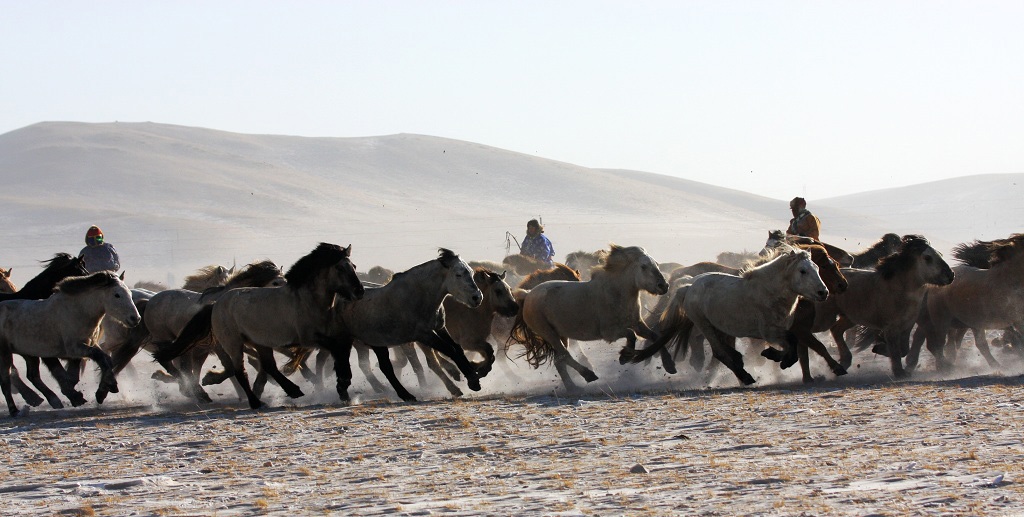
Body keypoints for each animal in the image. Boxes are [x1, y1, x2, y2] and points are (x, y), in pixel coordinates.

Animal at [0, 270, 141, 415]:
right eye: (117, 295)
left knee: (32, 376)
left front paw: (100, 391)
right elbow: (99, 357)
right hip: (5, 353)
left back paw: (50, 400)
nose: (135, 318)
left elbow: (102, 361)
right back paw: (15, 410)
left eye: (130, 294)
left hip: (29, 354)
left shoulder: (87, 346)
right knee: (6, 380)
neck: (78, 310)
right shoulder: (75, 348)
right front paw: (107, 387)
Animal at [149, 241, 362, 407]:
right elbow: (336, 351)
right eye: (340, 268)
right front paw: (342, 384)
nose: (359, 291)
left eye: (354, 266)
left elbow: (341, 351)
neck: (306, 300)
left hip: (258, 342)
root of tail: (216, 304)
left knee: (267, 365)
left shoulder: (329, 336)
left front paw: (342, 387)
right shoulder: (309, 338)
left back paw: (291, 390)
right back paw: (254, 402)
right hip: (232, 344)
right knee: (239, 371)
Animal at [507, 243, 667, 389]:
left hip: (560, 334)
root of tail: (527, 294)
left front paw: (669, 364)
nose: (664, 286)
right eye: (644, 266)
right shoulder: (609, 333)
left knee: (559, 360)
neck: (616, 292)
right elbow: (631, 335)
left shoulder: (638, 324)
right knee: (564, 355)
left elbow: (655, 337)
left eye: (656, 264)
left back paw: (572, 386)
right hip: (548, 333)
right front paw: (624, 357)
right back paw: (588, 375)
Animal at [622, 247, 831, 384]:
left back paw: (738, 362)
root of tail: (688, 287)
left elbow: (791, 347)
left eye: (817, 268)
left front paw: (773, 356)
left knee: (722, 351)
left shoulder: (777, 332)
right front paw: (779, 359)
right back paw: (745, 377)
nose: (823, 292)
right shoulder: (769, 332)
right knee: (719, 352)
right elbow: (791, 347)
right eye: (803, 271)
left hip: (719, 328)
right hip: (704, 325)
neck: (769, 292)